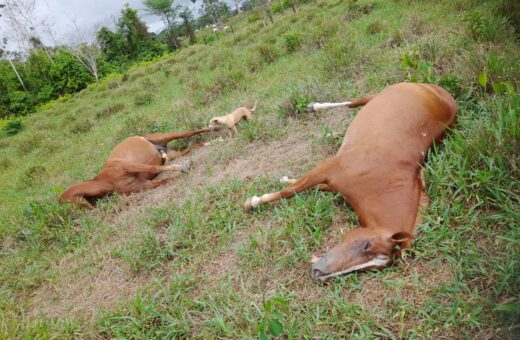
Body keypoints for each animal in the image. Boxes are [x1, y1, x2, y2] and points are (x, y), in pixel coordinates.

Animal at [244, 82, 456, 282]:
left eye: (371, 268)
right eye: (366, 244)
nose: (319, 273)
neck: (380, 181)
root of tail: (441, 92)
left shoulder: (331, 182)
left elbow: (305, 188)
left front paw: (284, 180)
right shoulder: (327, 167)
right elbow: (289, 191)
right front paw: (252, 202)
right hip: (381, 93)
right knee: (355, 103)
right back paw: (315, 107)